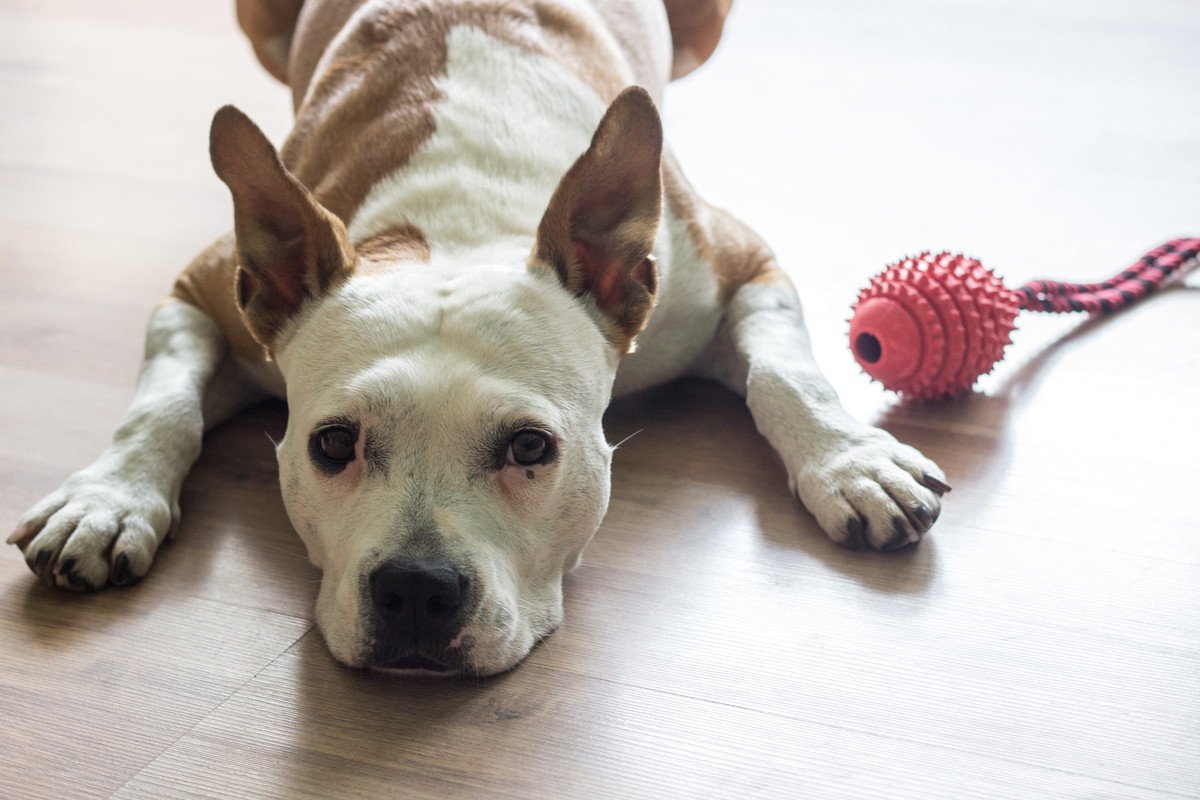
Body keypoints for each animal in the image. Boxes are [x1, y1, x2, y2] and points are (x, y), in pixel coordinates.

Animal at [7, 0, 945, 676]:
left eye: (531, 447)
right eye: (332, 444)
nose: (417, 590)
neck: (460, 220)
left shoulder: (741, 265)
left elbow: (786, 374)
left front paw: (853, 461)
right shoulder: (201, 294)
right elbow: (162, 404)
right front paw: (108, 498)